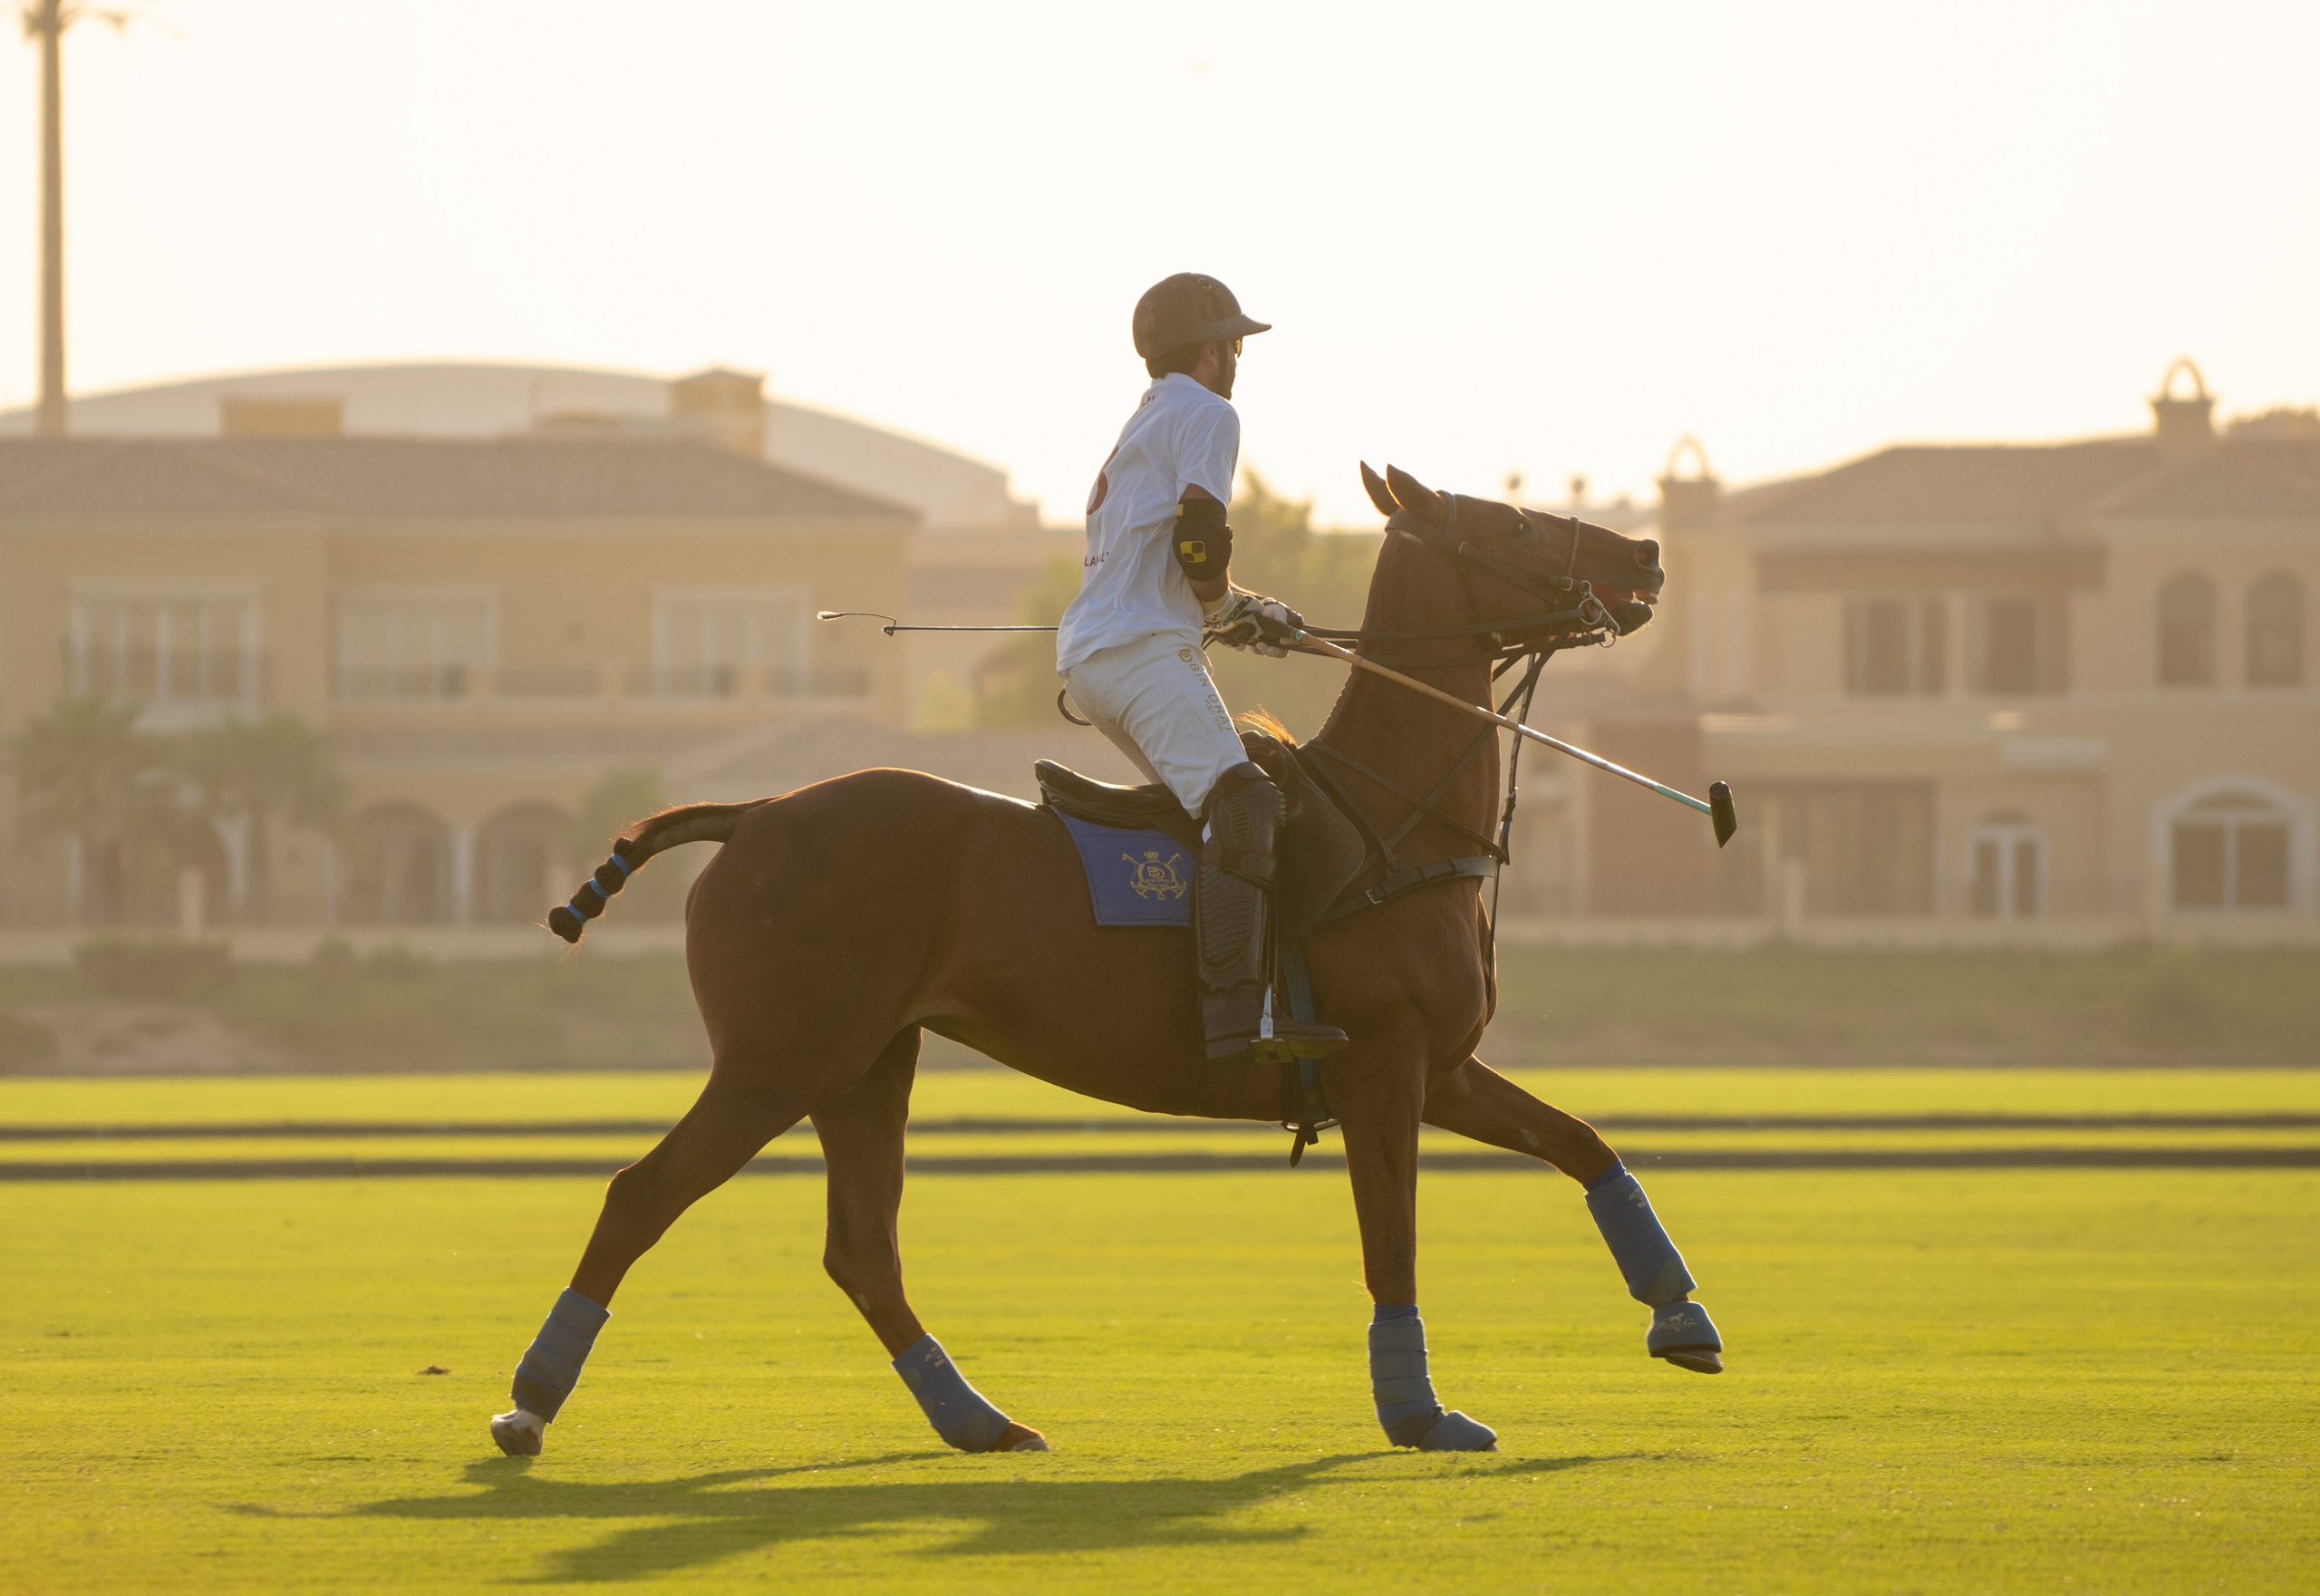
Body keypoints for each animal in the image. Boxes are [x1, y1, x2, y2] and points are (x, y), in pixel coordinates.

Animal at [490, 462, 1724, 1459]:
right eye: (1511, 522)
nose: (1646, 555)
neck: (1394, 823)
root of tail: (750, 815)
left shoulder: (1442, 1067)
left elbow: (1583, 1142)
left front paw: (1683, 1320)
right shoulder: (1383, 1068)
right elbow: (1394, 1244)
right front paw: (1421, 1414)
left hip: (865, 1063)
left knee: (862, 1249)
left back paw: (980, 1422)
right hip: (778, 1060)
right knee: (644, 1195)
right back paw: (529, 1405)